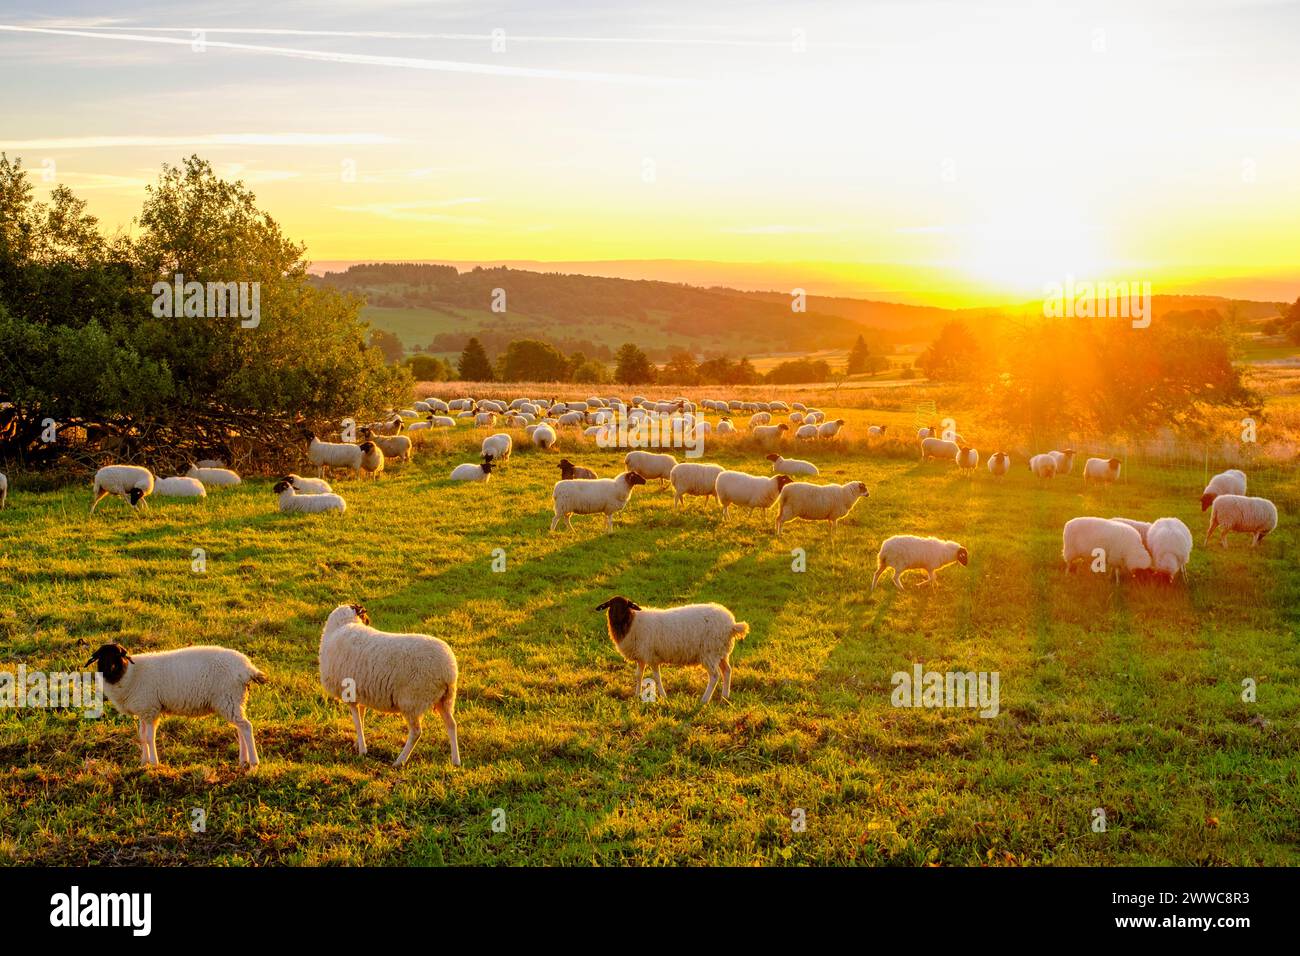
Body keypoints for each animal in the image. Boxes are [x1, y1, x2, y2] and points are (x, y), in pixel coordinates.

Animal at [83, 642, 266, 770]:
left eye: (119, 655)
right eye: (102, 657)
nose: (111, 668)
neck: (128, 674)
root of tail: (248, 668)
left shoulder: (151, 710)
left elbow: (149, 737)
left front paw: (154, 764)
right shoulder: (144, 710)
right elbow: (142, 737)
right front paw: (143, 762)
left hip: (228, 698)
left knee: (246, 727)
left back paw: (253, 763)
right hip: (233, 700)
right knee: (240, 728)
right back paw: (243, 761)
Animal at [318, 606, 462, 770]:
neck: (342, 625)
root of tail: (449, 670)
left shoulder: (351, 694)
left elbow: (357, 721)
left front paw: (362, 750)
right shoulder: (361, 694)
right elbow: (361, 718)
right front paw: (358, 743)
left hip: (412, 700)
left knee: (416, 732)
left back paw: (400, 761)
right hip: (445, 699)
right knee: (451, 725)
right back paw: (455, 760)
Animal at [595, 595, 748, 707]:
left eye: (626, 606)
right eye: (610, 606)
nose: (616, 620)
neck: (632, 622)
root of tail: (732, 625)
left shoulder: (651, 656)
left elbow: (657, 677)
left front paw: (663, 696)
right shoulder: (641, 656)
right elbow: (638, 675)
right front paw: (637, 695)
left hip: (710, 652)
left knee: (715, 676)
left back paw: (704, 700)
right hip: (721, 652)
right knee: (727, 671)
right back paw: (725, 696)